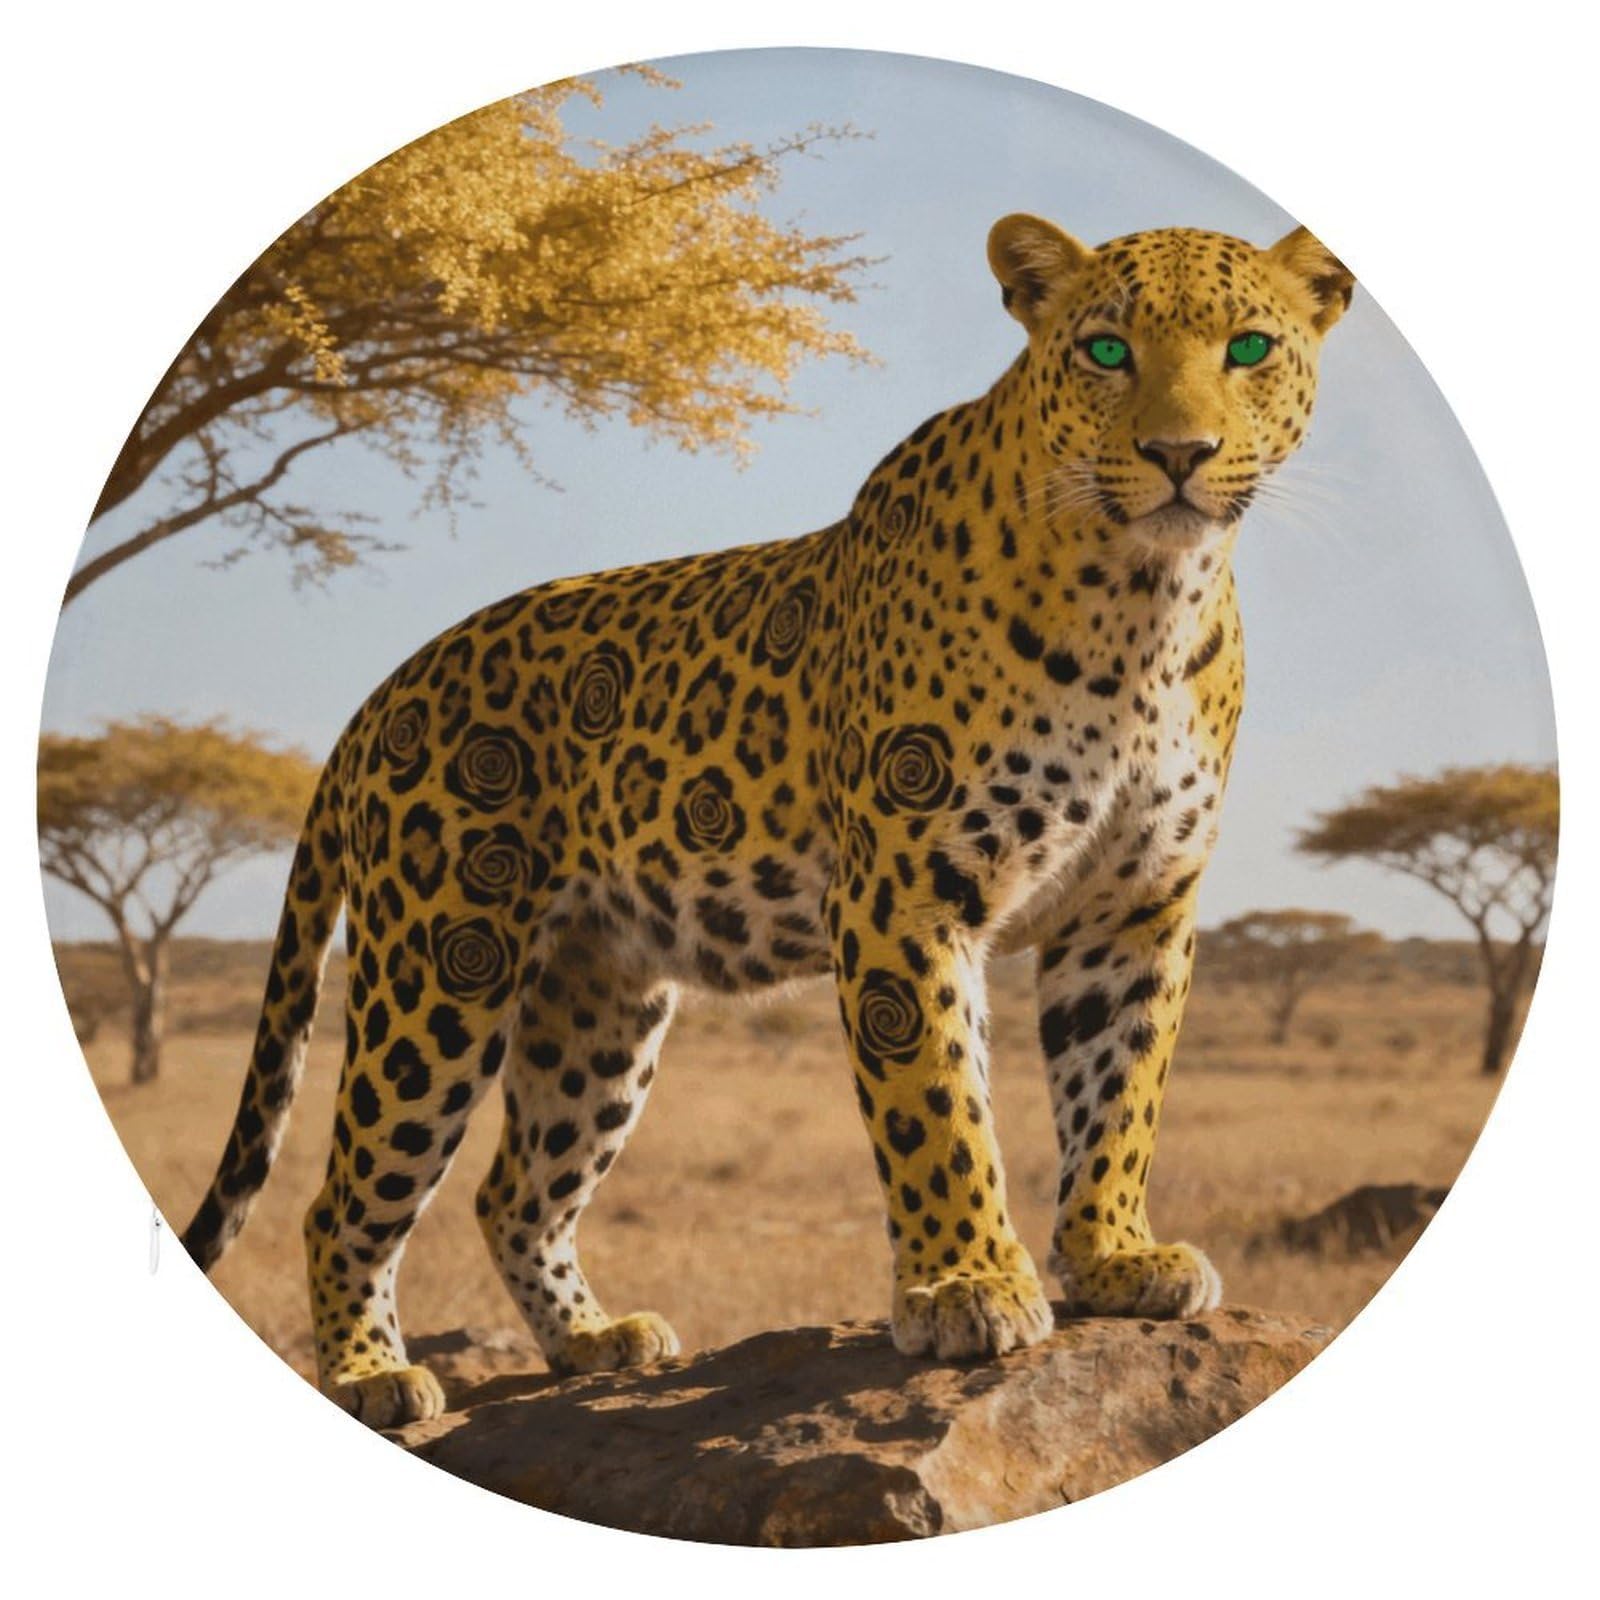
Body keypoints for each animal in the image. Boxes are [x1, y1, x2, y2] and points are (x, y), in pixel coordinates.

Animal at [182, 214, 1353, 1429]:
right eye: (1107, 351)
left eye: (1251, 348)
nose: (1181, 452)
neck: (1144, 602)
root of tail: (382, 692)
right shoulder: (907, 893)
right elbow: (938, 1103)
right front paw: (967, 1286)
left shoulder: (1133, 911)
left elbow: (1119, 1093)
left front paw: (1115, 1259)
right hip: (440, 969)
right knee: (346, 1199)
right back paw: (376, 1375)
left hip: (596, 1005)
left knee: (516, 1192)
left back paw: (594, 1341)